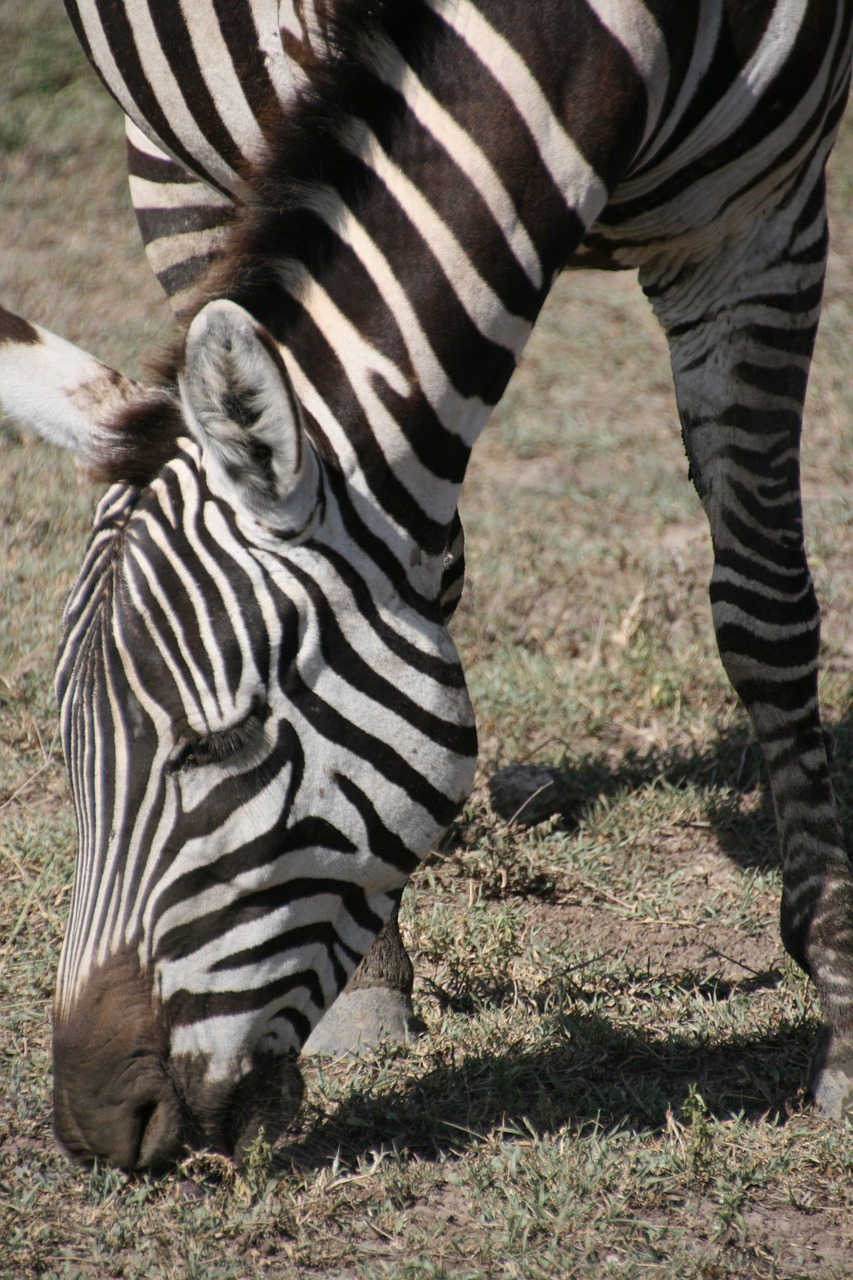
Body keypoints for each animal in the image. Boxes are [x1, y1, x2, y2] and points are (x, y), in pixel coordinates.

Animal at [1, 0, 850, 1167]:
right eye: (68, 744)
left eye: (226, 743)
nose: (92, 1128)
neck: (602, 45)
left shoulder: (760, 224)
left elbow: (764, 610)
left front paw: (840, 1013)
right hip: (168, 157)